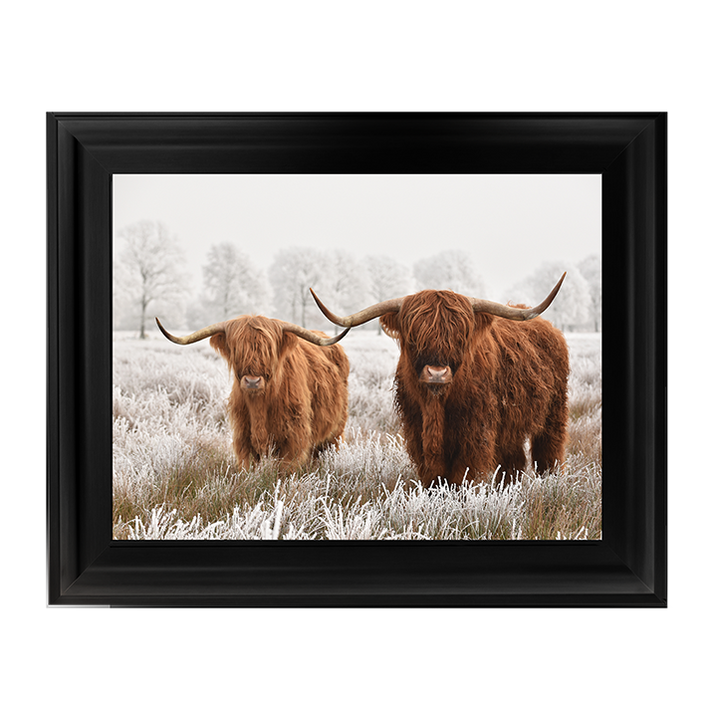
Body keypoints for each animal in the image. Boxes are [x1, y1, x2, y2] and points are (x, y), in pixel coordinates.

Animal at [155, 315, 350, 473]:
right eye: (237, 349)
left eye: (269, 350)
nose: (252, 381)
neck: (260, 405)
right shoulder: (243, 437)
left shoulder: (294, 438)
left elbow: (285, 471)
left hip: (336, 431)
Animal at [310, 274, 568, 487]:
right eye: (413, 336)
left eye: (460, 337)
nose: (436, 373)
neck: (436, 405)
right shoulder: (416, 430)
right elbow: (433, 477)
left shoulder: (475, 433)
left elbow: (462, 477)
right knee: (513, 461)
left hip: (554, 413)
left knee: (548, 452)